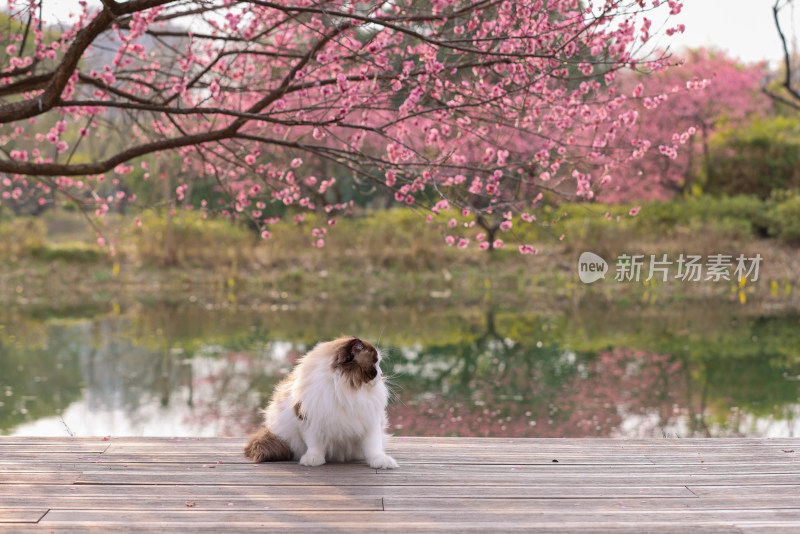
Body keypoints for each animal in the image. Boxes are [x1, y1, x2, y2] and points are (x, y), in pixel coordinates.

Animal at [241, 338, 396, 472]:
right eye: (374, 363)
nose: (382, 374)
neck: (345, 388)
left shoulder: (370, 420)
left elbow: (374, 447)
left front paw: (380, 461)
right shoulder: (308, 419)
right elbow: (314, 444)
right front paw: (313, 459)